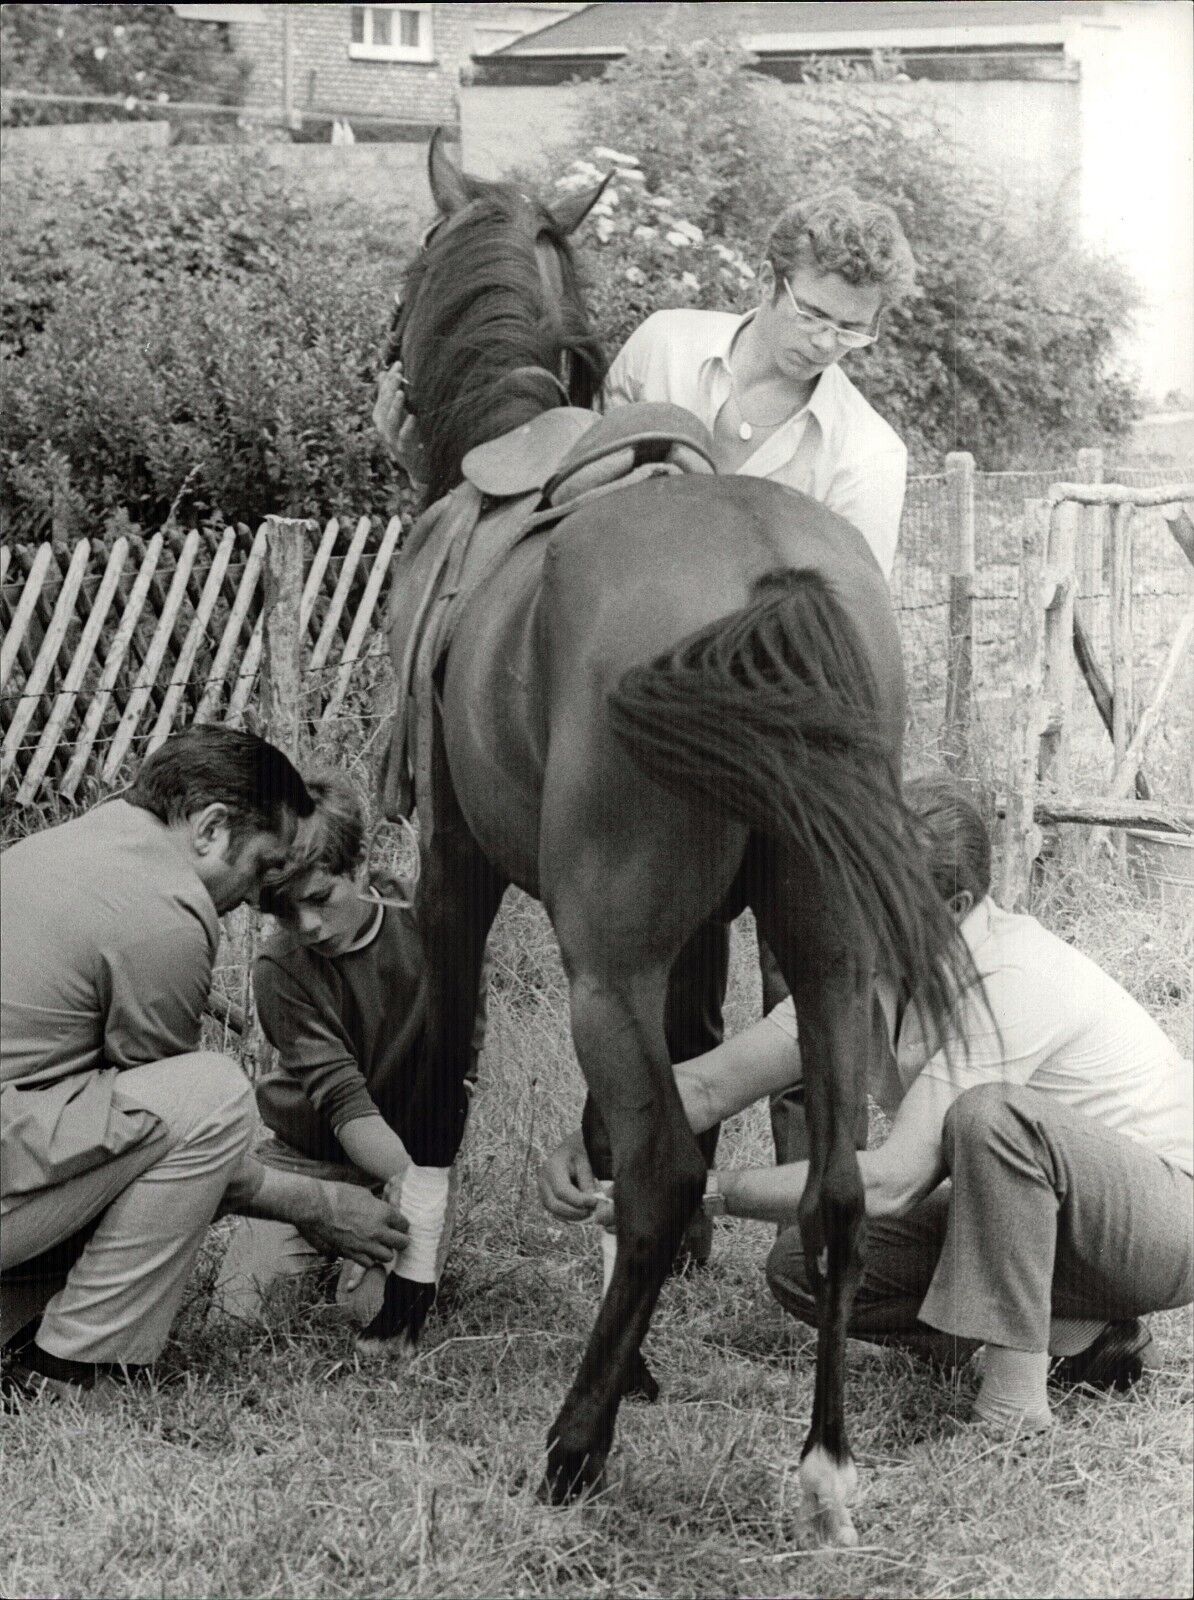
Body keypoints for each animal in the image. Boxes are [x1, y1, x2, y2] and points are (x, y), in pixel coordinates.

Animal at [380, 137, 966, 1548]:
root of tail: (771, 577)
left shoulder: (458, 879)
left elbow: (447, 1073)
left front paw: (409, 1293)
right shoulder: (702, 944)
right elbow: (679, 1085)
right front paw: (641, 1357)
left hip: (605, 961)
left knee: (659, 1176)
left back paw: (572, 1446)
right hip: (828, 953)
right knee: (835, 1184)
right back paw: (823, 1459)